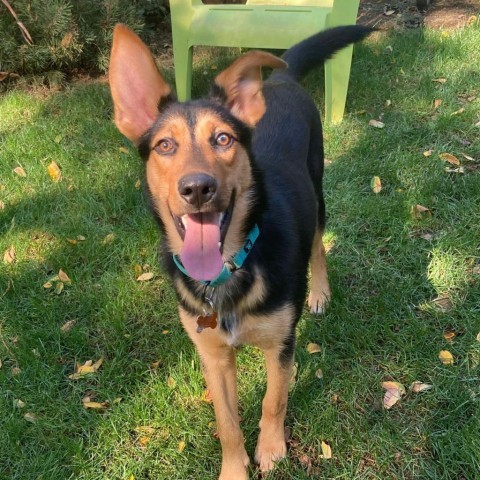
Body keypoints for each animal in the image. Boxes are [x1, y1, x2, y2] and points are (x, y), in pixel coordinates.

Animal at [109, 23, 372, 480]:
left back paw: (320, 292)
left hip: (317, 192)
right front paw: (235, 468)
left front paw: (271, 449)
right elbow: (227, 423)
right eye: (164, 146)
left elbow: (273, 399)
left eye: (223, 138)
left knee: (319, 247)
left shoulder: (281, 344)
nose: (197, 188)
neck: (228, 272)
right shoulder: (213, 357)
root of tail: (280, 78)